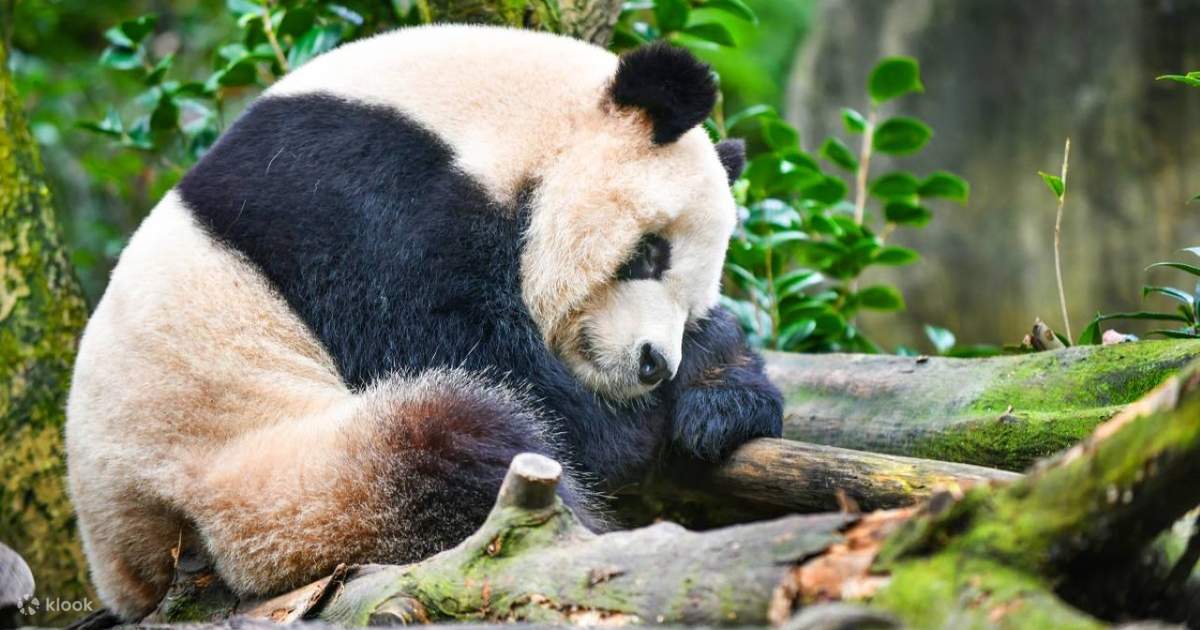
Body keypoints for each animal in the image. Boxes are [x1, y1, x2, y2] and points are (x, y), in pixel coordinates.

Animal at [65, 24, 783, 620]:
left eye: (692, 298)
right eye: (648, 253)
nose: (652, 363)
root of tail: (126, 566)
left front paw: (723, 392)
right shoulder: (358, 199)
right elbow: (470, 354)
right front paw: (648, 418)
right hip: (264, 480)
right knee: (451, 443)